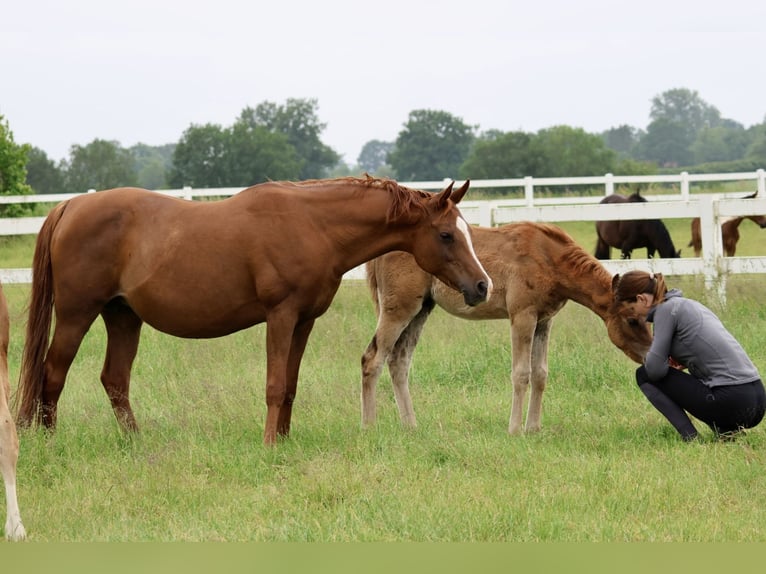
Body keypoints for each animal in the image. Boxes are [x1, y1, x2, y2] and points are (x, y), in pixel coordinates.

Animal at [15, 178, 492, 448]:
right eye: (446, 235)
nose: (482, 286)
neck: (313, 225)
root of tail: (69, 206)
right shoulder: (280, 317)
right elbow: (275, 385)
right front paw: (268, 446)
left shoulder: (304, 321)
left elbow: (291, 387)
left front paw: (284, 441)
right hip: (77, 315)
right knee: (52, 374)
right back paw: (49, 442)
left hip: (123, 316)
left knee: (114, 380)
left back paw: (136, 444)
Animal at [362, 223, 656, 434]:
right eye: (632, 320)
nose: (650, 357)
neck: (548, 258)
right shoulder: (522, 316)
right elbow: (521, 374)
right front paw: (515, 429)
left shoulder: (544, 321)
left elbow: (540, 374)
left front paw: (534, 428)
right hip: (399, 309)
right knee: (372, 359)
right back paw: (369, 426)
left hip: (421, 309)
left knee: (398, 362)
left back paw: (410, 426)